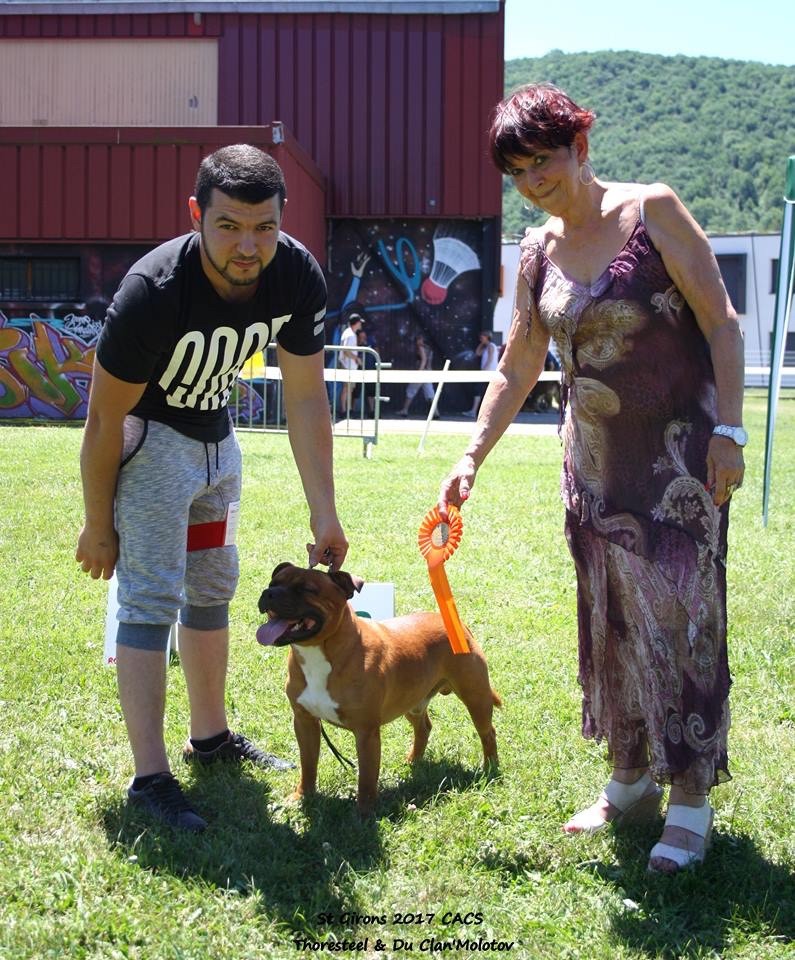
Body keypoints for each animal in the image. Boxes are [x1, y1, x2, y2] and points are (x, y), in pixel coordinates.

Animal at [257, 562, 501, 814]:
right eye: (273, 582)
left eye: (307, 589)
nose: (268, 593)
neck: (319, 652)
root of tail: (457, 623)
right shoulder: (305, 722)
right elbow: (308, 764)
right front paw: (302, 796)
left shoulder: (366, 732)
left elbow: (366, 777)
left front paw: (364, 813)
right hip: (412, 700)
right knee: (423, 727)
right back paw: (413, 760)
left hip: (475, 697)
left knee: (487, 732)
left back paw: (490, 767)